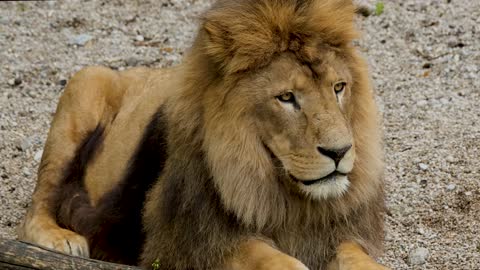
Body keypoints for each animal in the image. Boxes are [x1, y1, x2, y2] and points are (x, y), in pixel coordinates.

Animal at [17, 0, 390, 270]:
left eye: (338, 87)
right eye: (286, 97)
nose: (339, 152)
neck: (282, 195)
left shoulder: (337, 233)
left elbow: (358, 258)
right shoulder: (184, 244)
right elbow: (272, 259)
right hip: (86, 82)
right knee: (37, 207)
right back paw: (62, 240)